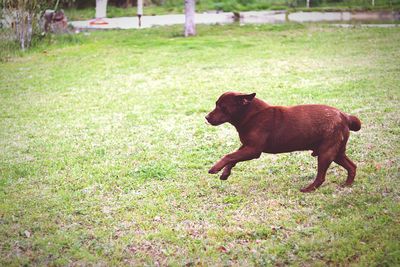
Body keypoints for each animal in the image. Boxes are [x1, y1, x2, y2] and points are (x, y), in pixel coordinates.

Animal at [205, 92, 360, 193]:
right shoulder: (246, 146)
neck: (251, 115)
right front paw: (225, 174)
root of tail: (345, 116)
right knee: (352, 166)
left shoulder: (253, 150)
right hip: (336, 153)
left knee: (321, 177)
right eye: (216, 105)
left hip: (326, 153)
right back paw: (347, 185)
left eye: (222, 107)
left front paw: (215, 168)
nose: (206, 117)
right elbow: (233, 158)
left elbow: (229, 156)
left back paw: (308, 189)